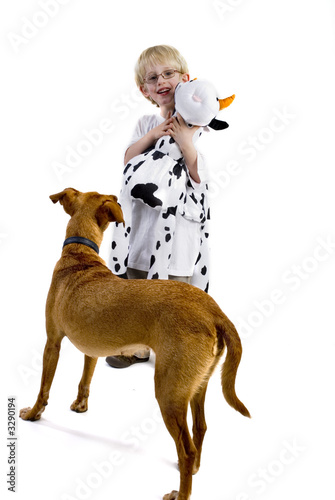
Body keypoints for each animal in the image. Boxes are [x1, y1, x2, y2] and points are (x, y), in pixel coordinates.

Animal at [19, 188, 251, 500]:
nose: (118, 196)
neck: (80, 252)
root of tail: (213, 310)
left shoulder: (52, 342)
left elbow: (43, 388)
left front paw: (33, 414)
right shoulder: (92, 351)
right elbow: (85, 379)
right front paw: (80, 405)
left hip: (168, 393)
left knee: (187, 448)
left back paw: (180, 491)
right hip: (195, 385)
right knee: (200, 428)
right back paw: (192, 471)